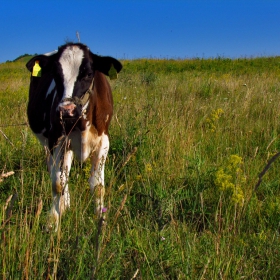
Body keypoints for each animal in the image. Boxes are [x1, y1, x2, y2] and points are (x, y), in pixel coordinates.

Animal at [25, 42, 122, 231]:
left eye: (89, 73)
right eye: (55, 74)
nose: (66, 110)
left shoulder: (103, 141)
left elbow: (98, 186)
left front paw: (101, 221)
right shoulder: (56, 141)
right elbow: (57, 183)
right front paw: (53, 223)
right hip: (49, 144)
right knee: (56, 173)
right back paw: (63, 206)